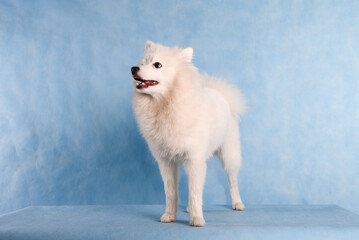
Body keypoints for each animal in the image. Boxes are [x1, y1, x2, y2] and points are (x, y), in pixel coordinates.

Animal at [132, 41, 248, 227]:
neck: (165, 104)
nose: (133, 69)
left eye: (157, 65)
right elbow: (171, 192)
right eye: (142, 63)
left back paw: (237, 203)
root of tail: (221, 95)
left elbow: (195, 191)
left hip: (229, 154)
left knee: (232, 180)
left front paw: (197, 219)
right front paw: (169, 215)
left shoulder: (194, 159)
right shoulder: (167, 161)